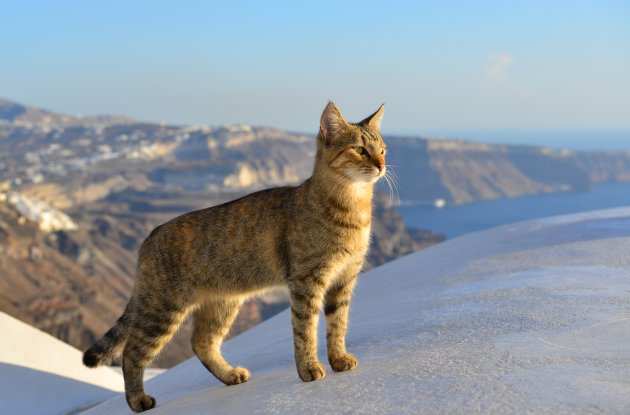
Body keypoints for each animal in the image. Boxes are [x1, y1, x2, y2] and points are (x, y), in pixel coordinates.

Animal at [82, 103, 390, 412]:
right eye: (360, 150)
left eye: (382, 149)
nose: (381, 165)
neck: (352, 209)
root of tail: (148, 238)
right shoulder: (307, 280)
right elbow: (305, 329)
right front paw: (309, 368)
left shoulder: (344, 278)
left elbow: (338, 324)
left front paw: (339, 359)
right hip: (161, 308)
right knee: (132, 352)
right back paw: (138, 400)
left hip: (222, 303)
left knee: (201, 342)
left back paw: (230, 375)